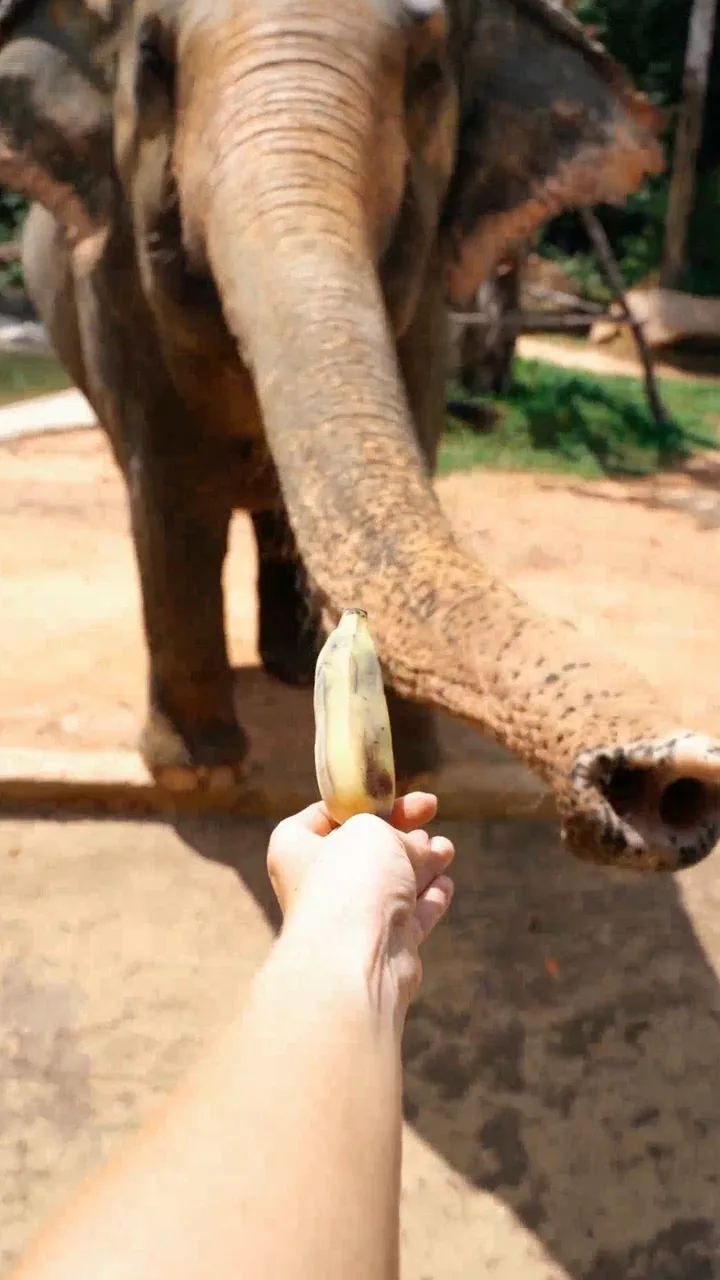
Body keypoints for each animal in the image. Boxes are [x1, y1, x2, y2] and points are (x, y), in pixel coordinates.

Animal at [1, 0, 720, 873]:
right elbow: (170, 492)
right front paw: (199, 774)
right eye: (151, 59)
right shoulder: (107, 294)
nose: (662, 778)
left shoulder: (436, 306)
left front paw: (423, 763)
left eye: (429, 72)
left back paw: (288, 666)